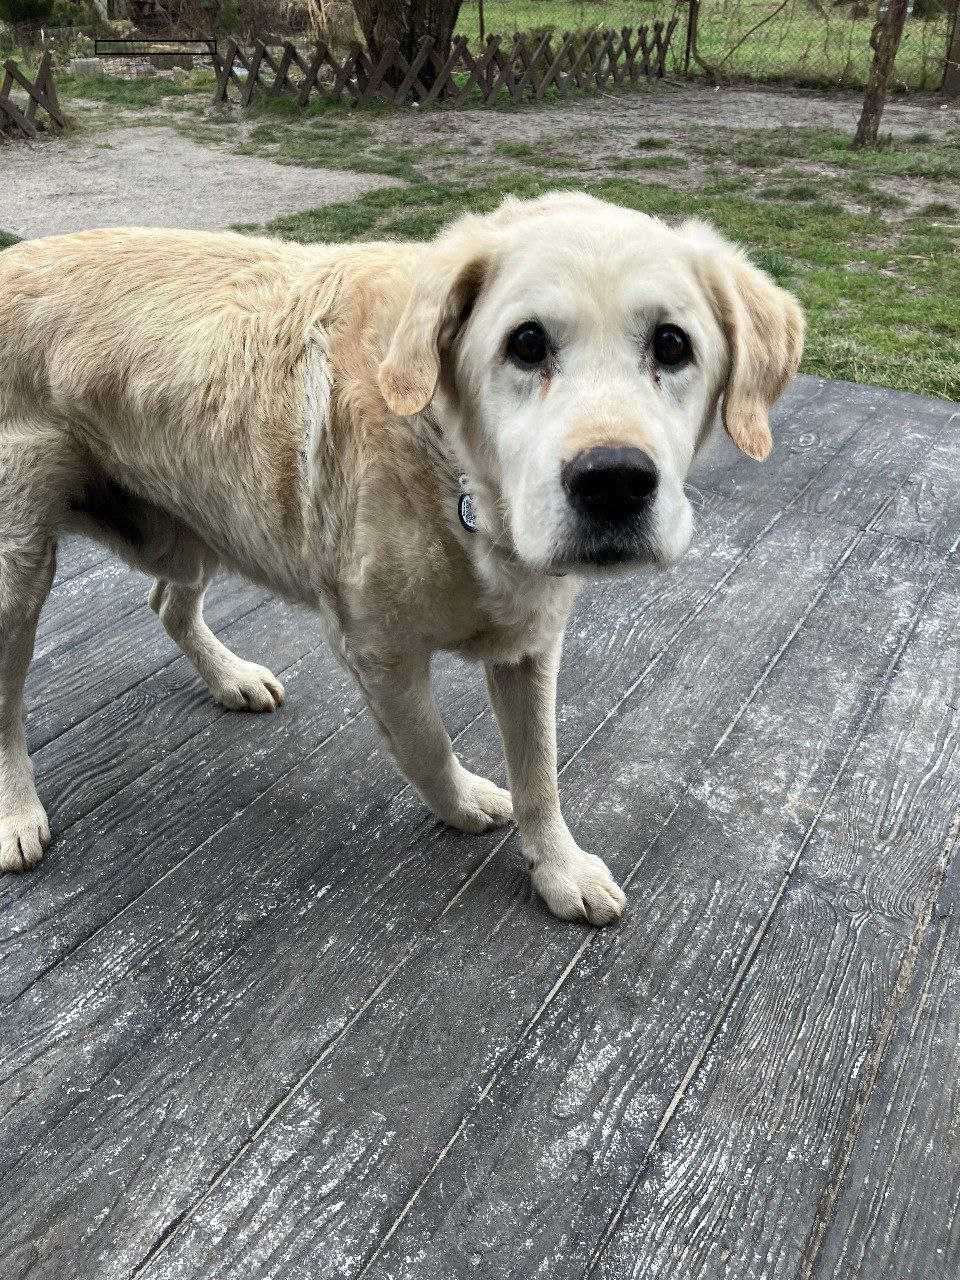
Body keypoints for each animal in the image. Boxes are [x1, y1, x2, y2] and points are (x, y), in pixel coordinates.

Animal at [0, 192, 803, 921]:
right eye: (526, 344)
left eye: (672, 346)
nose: (613, 481)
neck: (460, 482)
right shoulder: (376, 649)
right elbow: (427, 744)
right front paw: (467, 802)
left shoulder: (531, 644)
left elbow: (540, 773)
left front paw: (560, 869)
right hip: (18, 567)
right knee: (8, 703)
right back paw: (16, 814)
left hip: (198, 509)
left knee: (168, 603)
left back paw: (231, 677)